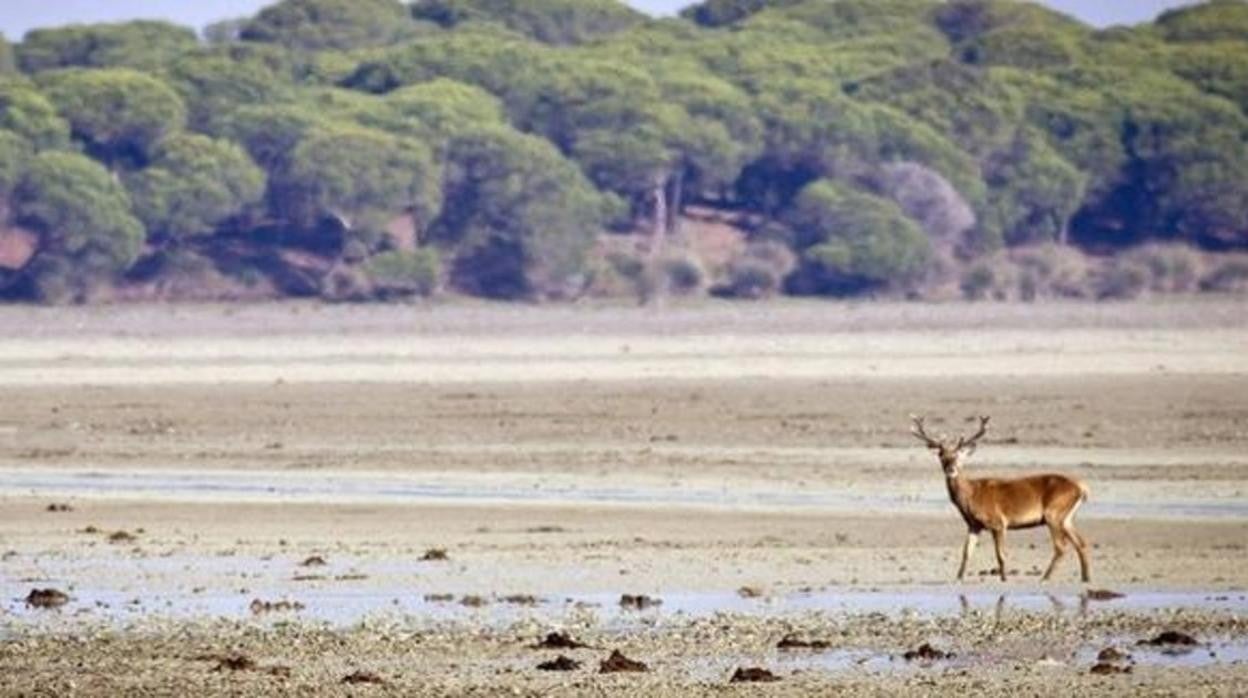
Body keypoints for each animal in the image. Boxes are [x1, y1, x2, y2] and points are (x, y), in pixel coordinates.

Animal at [908, 414, 1093, 584]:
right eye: (941, 455)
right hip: (1066, 518)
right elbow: (966, 552)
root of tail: (1081, 488)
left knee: (1061, 546)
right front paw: (958, 578)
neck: (971, 496)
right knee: (1081, 543)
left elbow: (1000, 554)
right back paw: (1085, 578)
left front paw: (1004, 579)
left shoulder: (998, 522)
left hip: (1053, 513)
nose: (951, 469)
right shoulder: (974, 525)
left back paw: (1044, 578)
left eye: (960, 455)